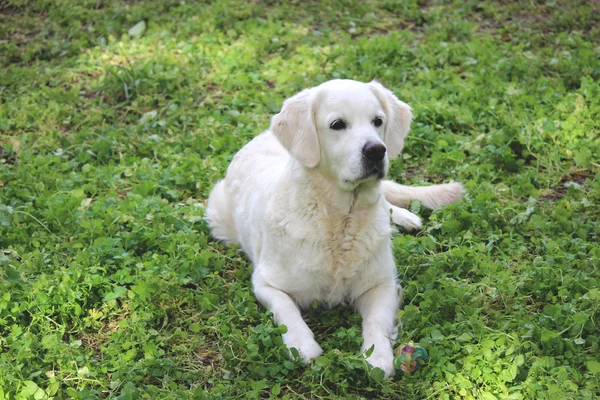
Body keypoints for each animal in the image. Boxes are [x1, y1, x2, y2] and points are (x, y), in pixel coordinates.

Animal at [207, 79, 464, 376]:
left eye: (378, 121)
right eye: (337, 124)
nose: (377, 150)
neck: (340, 220)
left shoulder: (381, 283)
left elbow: (377, 321)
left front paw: (378, 357)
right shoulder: (266, 282)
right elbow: (287, 310)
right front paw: (302, 344)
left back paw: (406, 217)